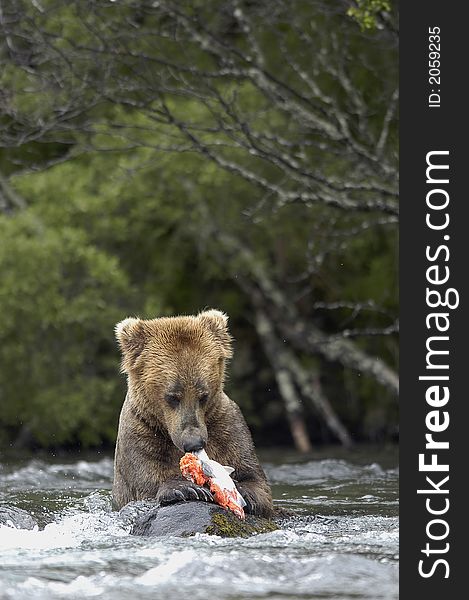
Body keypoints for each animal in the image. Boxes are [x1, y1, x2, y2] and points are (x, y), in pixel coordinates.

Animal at [112, 310, 272, 516]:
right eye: (172, 396)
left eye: (203, 395)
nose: (194, 442)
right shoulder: (140, 430)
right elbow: (146, 479)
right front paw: (186, 488)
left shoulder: (226, 426)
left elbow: (254, 477)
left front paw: (242, 489)